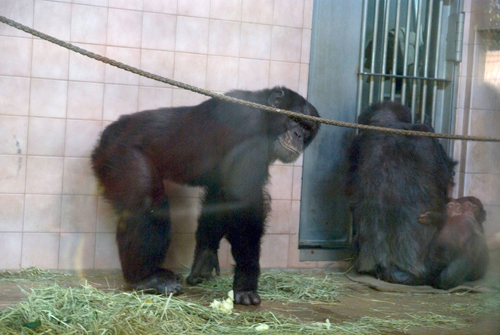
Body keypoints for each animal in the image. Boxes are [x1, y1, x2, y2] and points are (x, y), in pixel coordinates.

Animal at [92, 86, 320, 304]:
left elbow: (219, 196)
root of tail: (102, 139)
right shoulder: (248, 128)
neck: (266, 119)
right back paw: (145, 278)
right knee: (147, 205)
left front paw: (205, 259)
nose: (299, 136)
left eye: (308, 128)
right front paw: (246, 282)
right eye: (295, 119)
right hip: (121, 156)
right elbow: (243, 204)